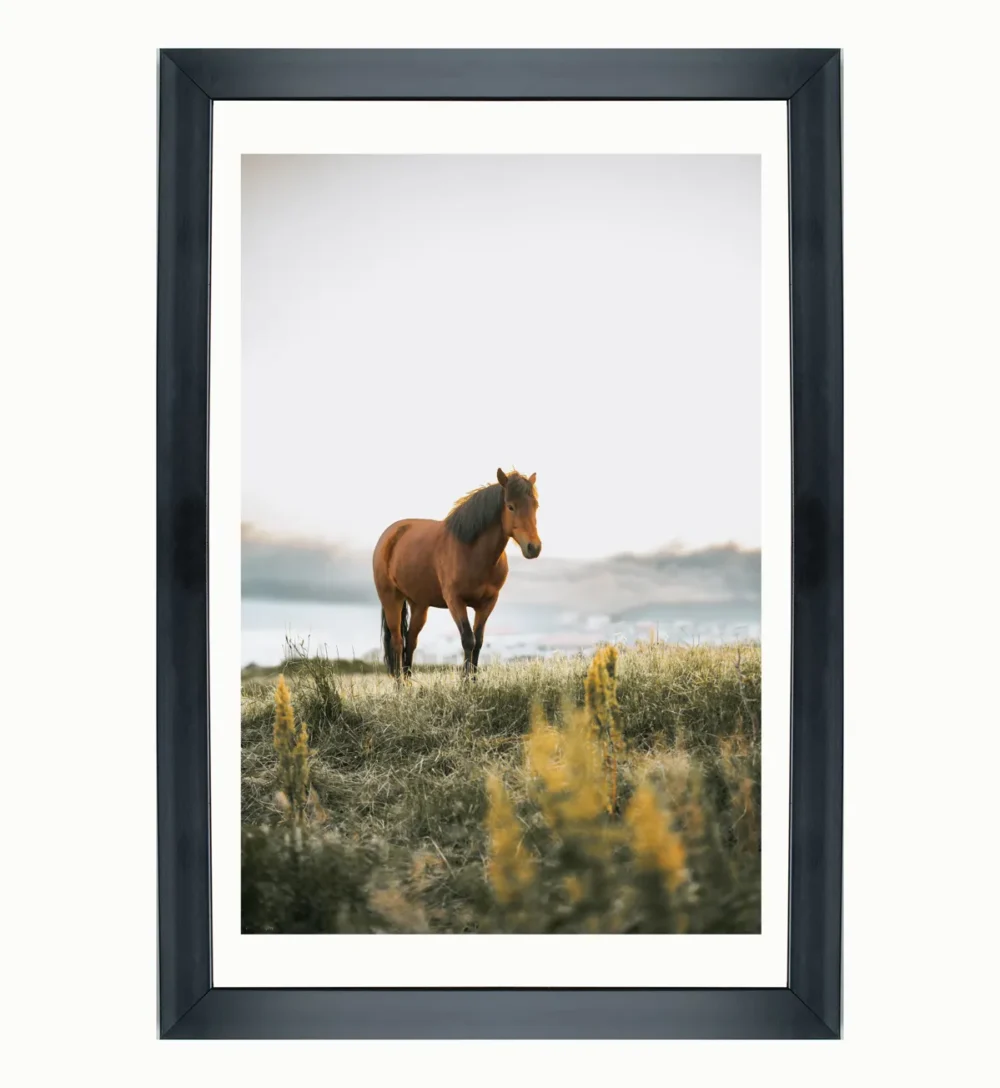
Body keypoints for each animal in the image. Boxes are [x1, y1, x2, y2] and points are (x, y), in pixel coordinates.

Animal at [374, 470, 539, 678]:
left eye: (535, 506)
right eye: (511, 507)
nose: (534, 547)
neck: (472, 551)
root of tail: (389, 535)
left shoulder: (488, 602)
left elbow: (478, 641)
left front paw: (474, 681)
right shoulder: (455, 600)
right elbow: (468, 640)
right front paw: (465, 682)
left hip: (419, 605)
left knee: (410, 641)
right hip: (391, 599)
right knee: (397, 642)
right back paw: (400, 685)